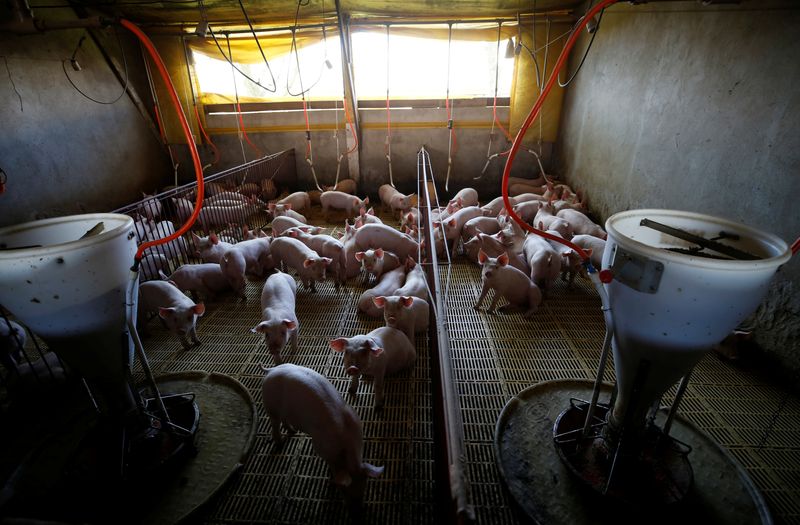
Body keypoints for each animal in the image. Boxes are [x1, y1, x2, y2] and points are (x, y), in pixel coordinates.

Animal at [258, 360, 380, 504]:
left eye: (364, 487)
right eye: (344, 490)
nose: (357, 509)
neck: (345, 443)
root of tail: (271, 370)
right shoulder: (320, 446)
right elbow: (330, 463)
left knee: (284, 420)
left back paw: (293, 431)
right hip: (271, 408)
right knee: (275, 425)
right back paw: (280, 443)